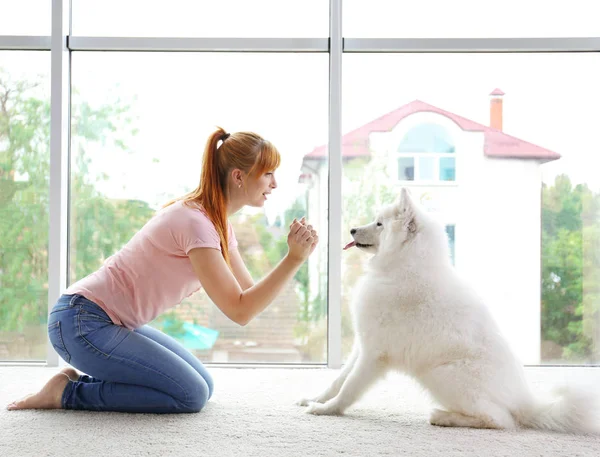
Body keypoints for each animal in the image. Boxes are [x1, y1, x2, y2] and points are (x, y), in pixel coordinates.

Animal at [298, 186, 596, 432]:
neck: (403, 266)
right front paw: (315, 399)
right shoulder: (362, 345)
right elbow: (338, 380)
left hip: (440, 374)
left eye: (379, 224)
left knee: (500, 420)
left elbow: (349, 387)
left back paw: (444, 417)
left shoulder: (375, 354)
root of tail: (525, 401)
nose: (351, 230)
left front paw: (326, 410)